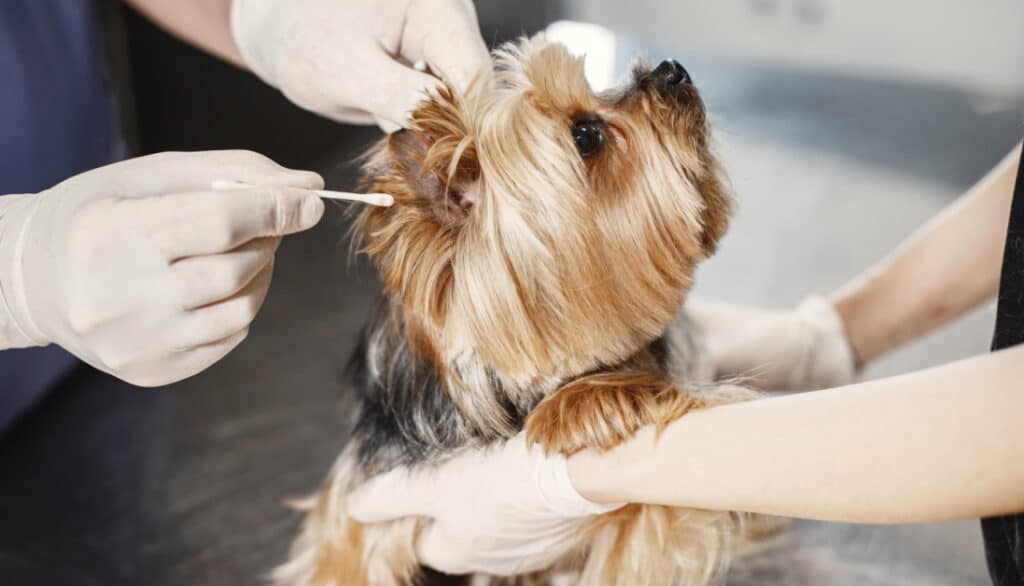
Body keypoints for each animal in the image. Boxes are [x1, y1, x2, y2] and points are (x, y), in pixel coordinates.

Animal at [276, 37, 765, 586]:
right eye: (586, 136)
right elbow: (343, 559)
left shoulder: (651, 514)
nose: (671, 69)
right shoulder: (362, 501)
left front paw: (585, 403)